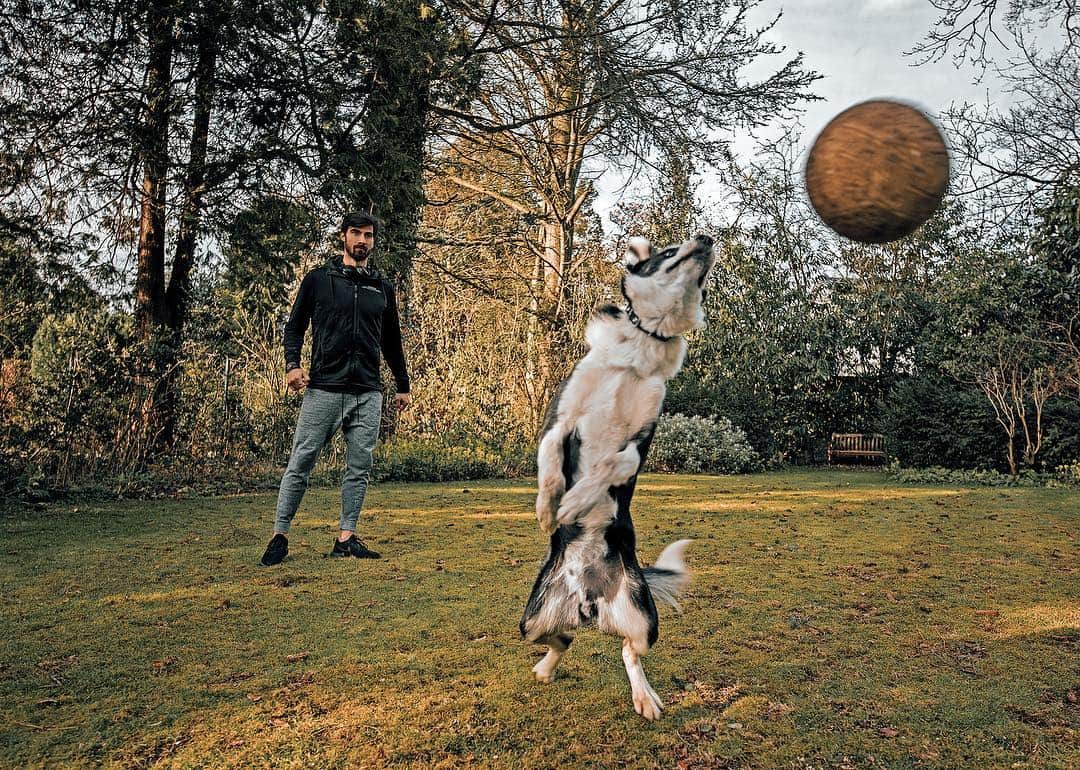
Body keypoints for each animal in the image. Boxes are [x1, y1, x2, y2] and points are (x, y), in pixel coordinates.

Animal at [518, 231, 712, 717]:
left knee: (627, 650)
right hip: (531, 621)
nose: (706, 238)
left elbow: (609, 465)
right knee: (561, 639)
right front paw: (551, 509)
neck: (640, 348)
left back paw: (645, 697)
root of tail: (589, 602)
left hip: (643, 618)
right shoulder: (558, 422)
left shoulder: (637, 447)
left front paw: (575, 501)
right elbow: (549, 467)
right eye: (668, 252)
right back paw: (545, 669)